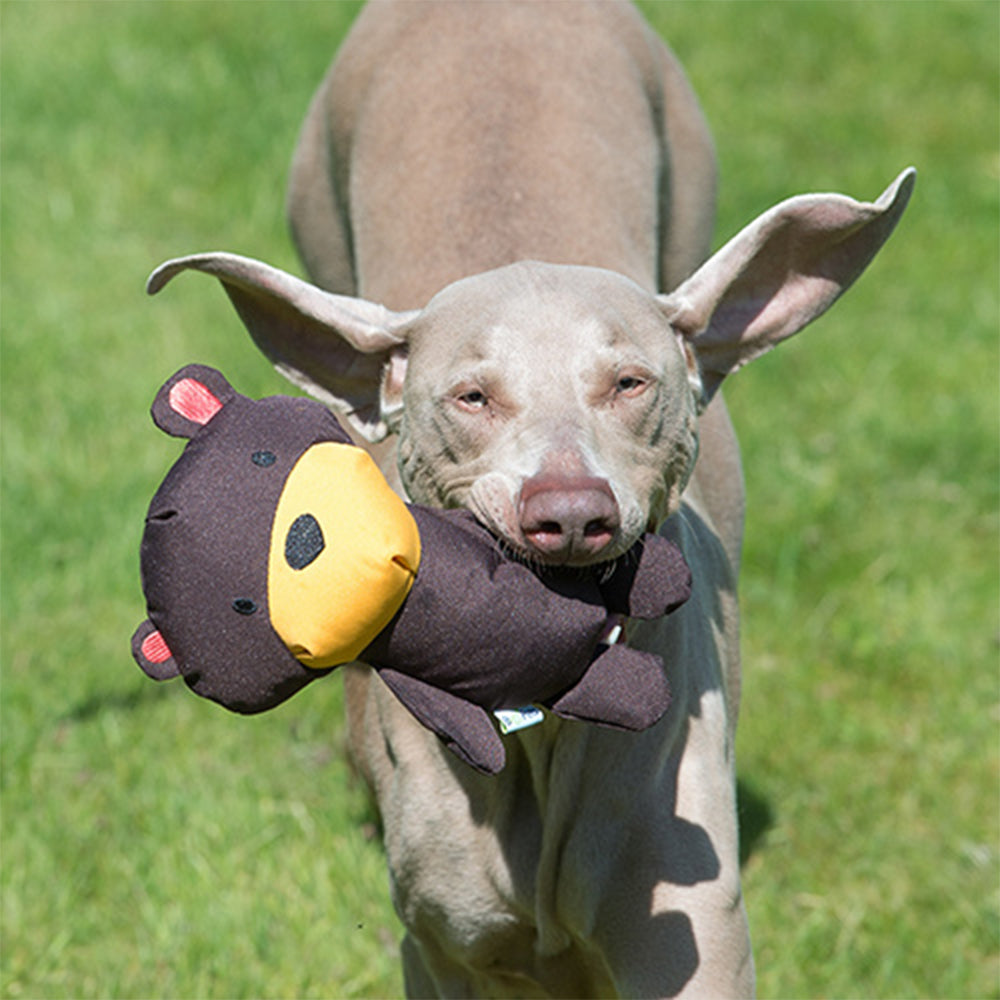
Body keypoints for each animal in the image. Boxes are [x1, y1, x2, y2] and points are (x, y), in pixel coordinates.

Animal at [150, 3, 916, 996]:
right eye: (472, 396)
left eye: (629, 383)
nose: (570, 511)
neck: (544, 730)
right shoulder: (446, 941)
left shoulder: (688, 926)